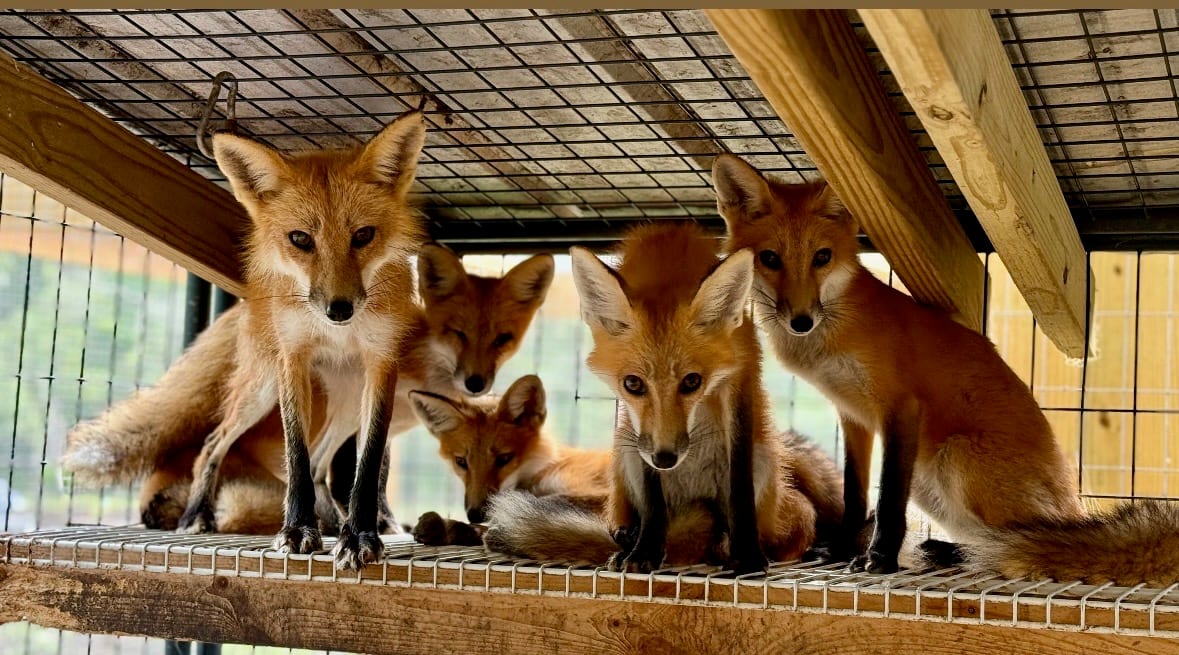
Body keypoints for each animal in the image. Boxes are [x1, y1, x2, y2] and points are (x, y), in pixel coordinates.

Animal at [63, 244, 554, 537]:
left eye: (503, 340)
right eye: (457, 333)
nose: (476, 382)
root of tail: (252, 299)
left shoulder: (381, 421)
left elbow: (366, 478)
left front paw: (372, 524)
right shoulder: (378, 416)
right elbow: (368, 477)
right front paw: (376, 524)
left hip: (341, 408)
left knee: (313, 465)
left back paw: (328, 523)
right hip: (266, 394)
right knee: (213, 444)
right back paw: (197, 516)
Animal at [484, 224, 843, 573]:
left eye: (692, 382)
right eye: (633, 384)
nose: (666, 458)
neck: (667, 267)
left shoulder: (739, 376)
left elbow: (740, 483)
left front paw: (747, 555)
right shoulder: (638, 429)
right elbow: (651, 496)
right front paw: (645, 550)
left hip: (765, 459)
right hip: (625, 450)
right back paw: (628, 538)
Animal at [712, 153, 1179, 585]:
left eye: (821, 257)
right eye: (770, 258)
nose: (802, 320)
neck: (834, 334)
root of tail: (1074, 508)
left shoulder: (900, 406)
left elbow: (887, 502)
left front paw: (880, 559)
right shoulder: (853, 415)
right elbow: (856, 496)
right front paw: (844, 550)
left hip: (955, 459)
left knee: (1021, 543)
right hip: (928, 479)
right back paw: (947, 551)